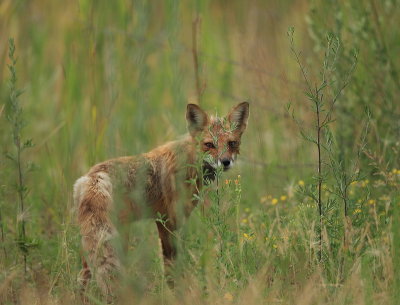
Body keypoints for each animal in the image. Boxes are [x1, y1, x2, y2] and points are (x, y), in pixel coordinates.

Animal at [73, 101, 248, 294]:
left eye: (232, 143)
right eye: (209, 144)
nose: (225, 162)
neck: (188, 162)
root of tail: (93, 176)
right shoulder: (169, 220)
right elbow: (171, 265)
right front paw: (176, 292)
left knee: (83, 276)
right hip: (118, 237)